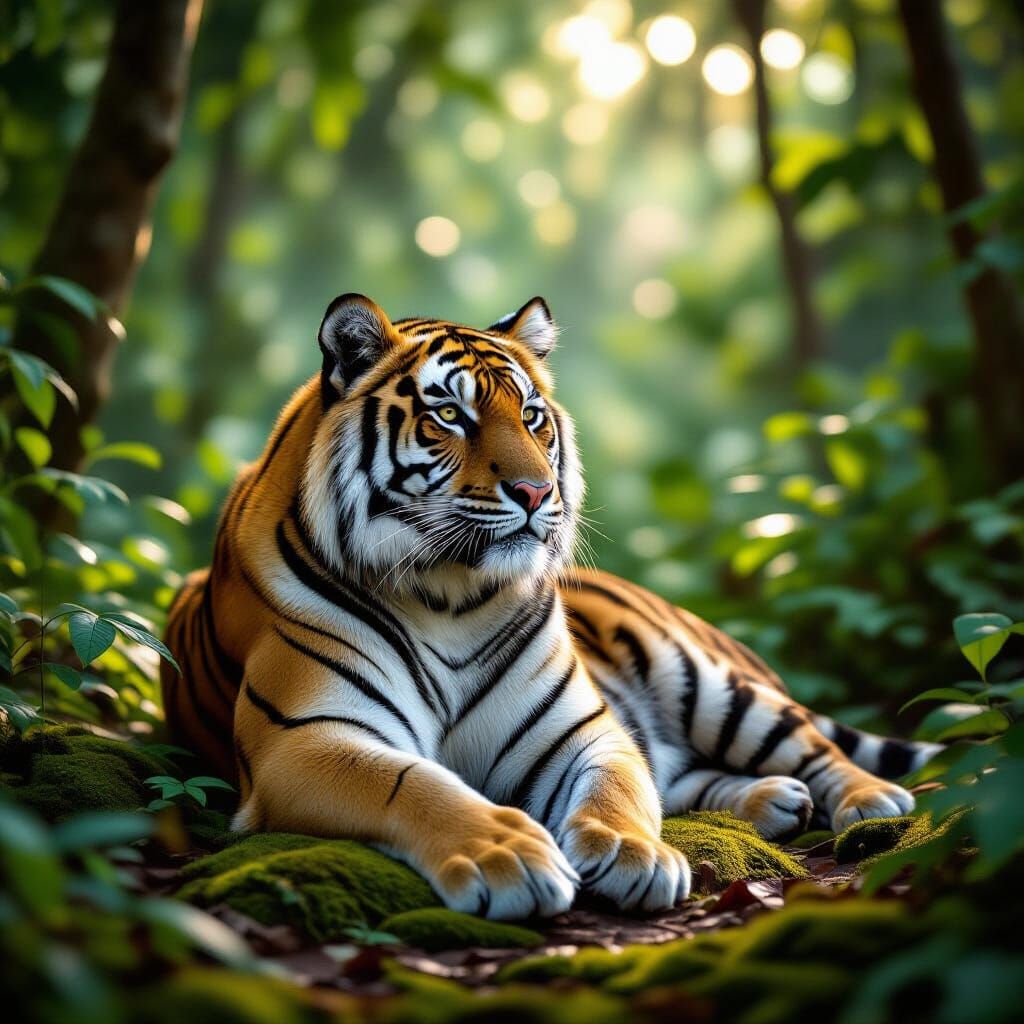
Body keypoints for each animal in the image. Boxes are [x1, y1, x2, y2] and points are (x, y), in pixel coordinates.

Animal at [162, 293, 940, 920]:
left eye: (533, 417)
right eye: (450, 415)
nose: (538, 492)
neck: (449, 597)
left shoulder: (583, 732)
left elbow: (618, 791)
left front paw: (634, 853)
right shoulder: (305, 737)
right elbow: (411, 785)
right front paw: (506, 857)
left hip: (705, 681)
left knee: (810, 742)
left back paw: (867, 798)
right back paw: (775, 800)